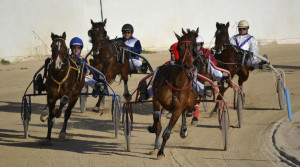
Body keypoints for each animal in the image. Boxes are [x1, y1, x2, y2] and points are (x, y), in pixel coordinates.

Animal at [146, 27, 198, 159]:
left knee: (186, 111)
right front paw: (156, 145)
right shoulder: (157, 102)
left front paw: (161, 152)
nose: (188, 66)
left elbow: (167, 132)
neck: (177, 82)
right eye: (180, 46)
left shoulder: (177, 109)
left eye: (193, 46)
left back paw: (183, 130)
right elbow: (157, 124)